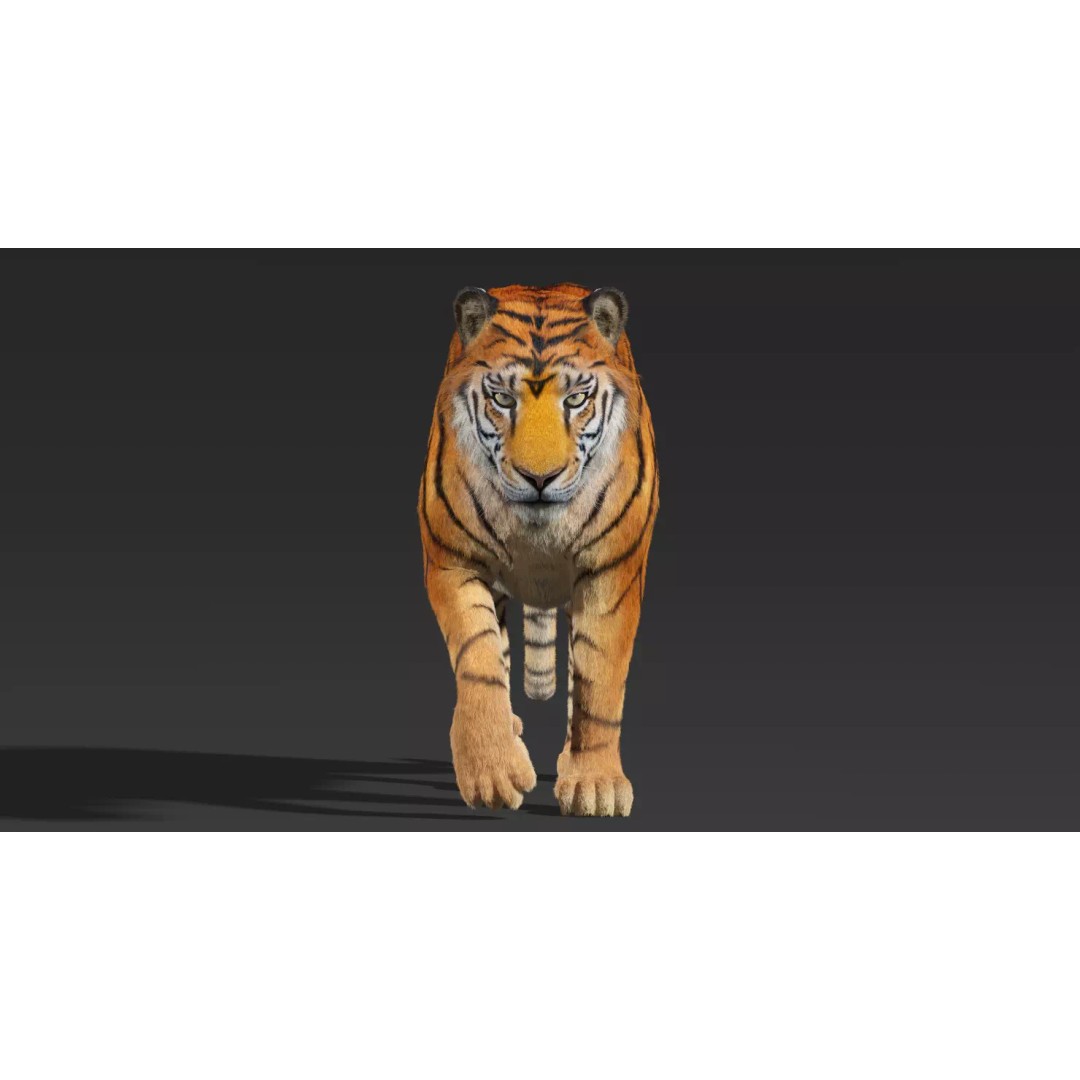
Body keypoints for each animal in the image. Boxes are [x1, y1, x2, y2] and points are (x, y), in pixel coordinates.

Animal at [417, 283, 659, 817]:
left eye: (577, 398)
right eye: (502, 398)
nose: (539, 478)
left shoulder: (611, 572)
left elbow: (598, 681)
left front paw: (595, 784)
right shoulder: (453, 560)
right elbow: (480, 661)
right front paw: (492, 773)